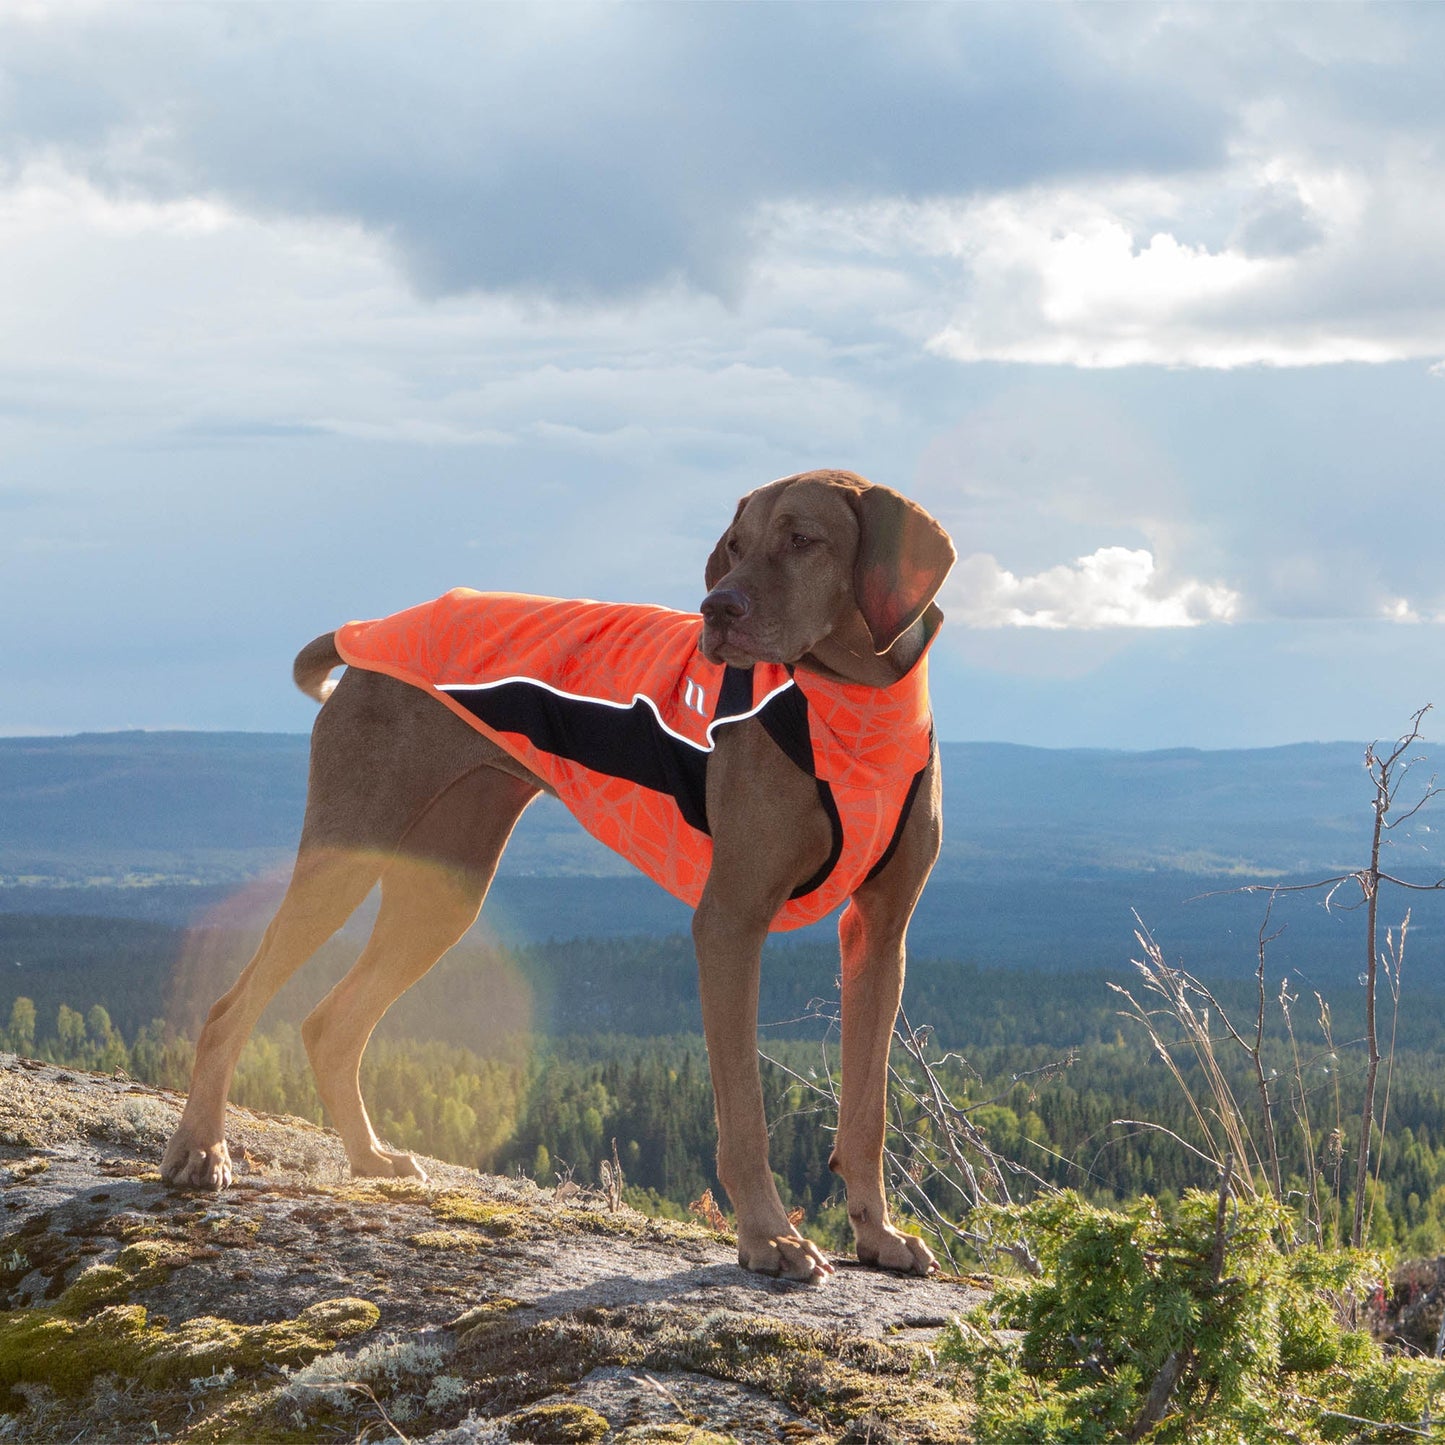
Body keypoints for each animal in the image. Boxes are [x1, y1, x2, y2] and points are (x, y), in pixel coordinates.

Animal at [164, 468, 953, 1283]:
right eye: (735, 545)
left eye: (802, 539)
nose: (717, 609)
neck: (855, 705)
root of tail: (371, 631)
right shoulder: (731, 920)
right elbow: (745, 1112)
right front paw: (769, 1238)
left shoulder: (879, 934)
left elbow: (867, 1109)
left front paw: (877, 1234)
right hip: (348, 848)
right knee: (231, 1007)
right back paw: (200, 1150)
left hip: (446, 889)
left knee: (332, 1023)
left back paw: (368, 1156)